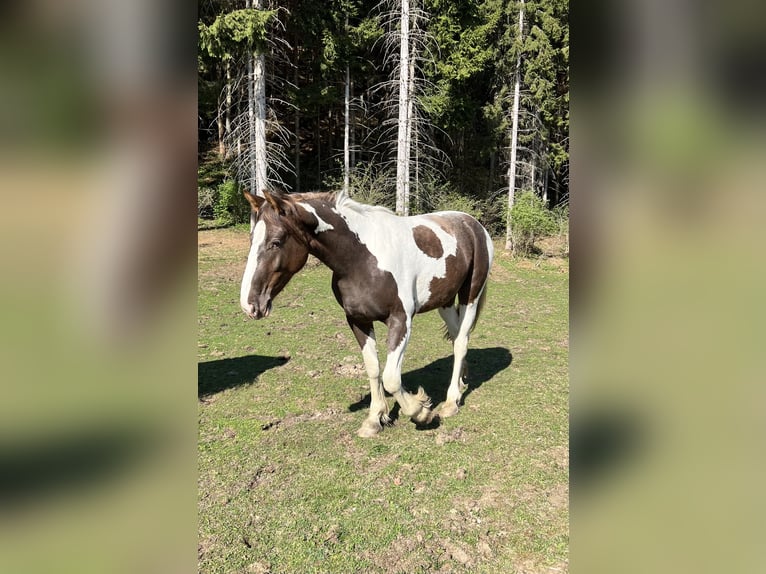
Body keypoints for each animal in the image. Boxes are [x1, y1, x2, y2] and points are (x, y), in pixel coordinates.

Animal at [240, 188, 494, 437]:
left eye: (276, 242)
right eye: (251, 239)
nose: (249, 304)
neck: (361, 259)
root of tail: (473, 224)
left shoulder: (401, 320)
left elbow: (391, 378)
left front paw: (421, 411)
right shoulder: (357, 320)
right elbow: (373, 368)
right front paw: (374, 419)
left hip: (471, 295)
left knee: (461, 342)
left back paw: (451, 402)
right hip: (445, 302)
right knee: (456, 338)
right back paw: (460, 385)